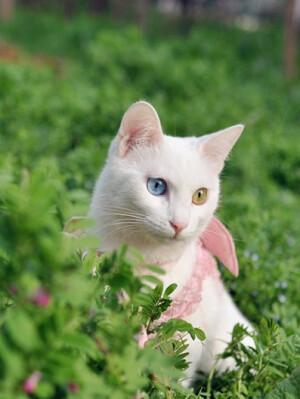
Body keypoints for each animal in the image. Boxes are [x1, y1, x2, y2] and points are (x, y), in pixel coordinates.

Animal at [89, 101, 253, 386]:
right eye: (156, 186)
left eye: (200, 196)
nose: (180, 224)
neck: (143, 260)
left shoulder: (187, 338)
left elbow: (174, 378)